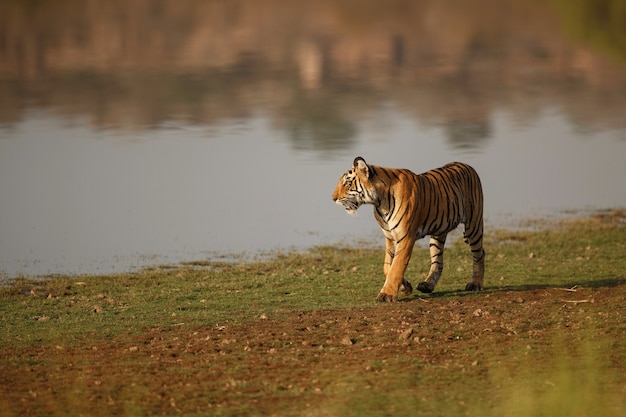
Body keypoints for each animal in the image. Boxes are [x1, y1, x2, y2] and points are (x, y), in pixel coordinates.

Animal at [330, 158, 486, 300]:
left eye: (347, 183)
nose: (333, 198)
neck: (379, 202)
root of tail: (466, 165)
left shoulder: (405, 237)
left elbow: (397, 266)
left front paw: (386, 295)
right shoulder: (390, 237)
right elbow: (387, 267)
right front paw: (405, 287)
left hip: (473, 224)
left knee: (479, 254)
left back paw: (475, 284)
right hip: (438, 233)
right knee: (438, 261)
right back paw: (427, 285)